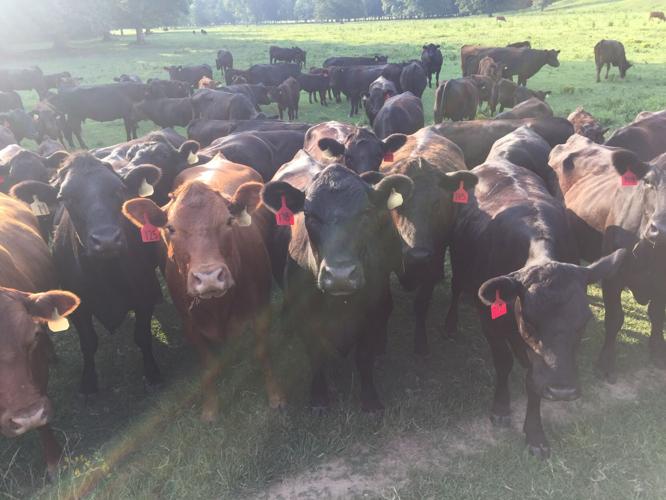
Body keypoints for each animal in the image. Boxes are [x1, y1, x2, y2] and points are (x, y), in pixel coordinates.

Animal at [122, 156, 285, 421]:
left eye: (229, 221)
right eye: (170, 228)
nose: (209, 278)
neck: (218, 307)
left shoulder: (261, 308)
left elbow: (262, 351)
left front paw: (275, 396)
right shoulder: (190, 325)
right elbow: (208, 366)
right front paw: (210, 409)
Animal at [261, 164, 414, 411]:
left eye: (366, 212)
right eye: (309, 215)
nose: (340, 276)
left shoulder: (371, 313)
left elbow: (364, 356)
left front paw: (370, 400)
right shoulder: (305, 316)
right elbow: (315, 355)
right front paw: (319, 397)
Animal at [379, 128, 476, 354]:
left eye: (437, 202)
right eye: (397, 205)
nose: (418, 254)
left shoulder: (433, 257)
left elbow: (421, 302)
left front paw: (420, 343)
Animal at [445, 149, 626, 458]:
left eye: (584, 321)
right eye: (529, 319)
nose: (562, 391)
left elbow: (533, 380)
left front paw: (535, 433)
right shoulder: (490, 322)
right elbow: (503, 362)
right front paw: (501, 408)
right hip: (459, 263)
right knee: (457, 285)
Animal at [550, 134, 666, 382]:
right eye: (648, 182)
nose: (660, 229)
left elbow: (657, 314)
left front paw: (657, 350)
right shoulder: (613, 277)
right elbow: (614, 319)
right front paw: (605, 361)